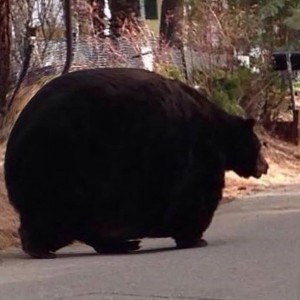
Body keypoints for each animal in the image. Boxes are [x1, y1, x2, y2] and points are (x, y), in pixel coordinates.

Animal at [4, 68, 268, 258]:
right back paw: (43, 249)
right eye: (260, 146)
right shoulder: (200, 155)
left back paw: (122, 243)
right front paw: (194, 238)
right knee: (58, 215)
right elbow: (196, 199)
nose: (265, 166)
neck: (221, 135)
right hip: (64, 166)